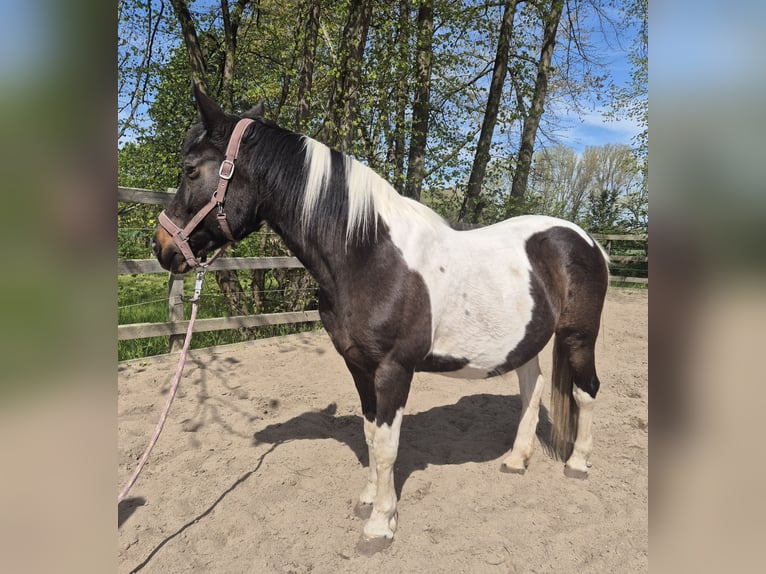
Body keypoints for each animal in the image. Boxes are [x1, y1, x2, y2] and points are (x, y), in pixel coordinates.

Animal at [153, 86, 610, 553]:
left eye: (191, 170)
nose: (162, 246)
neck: (367, 254)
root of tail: (584, 239)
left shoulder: (394, 369)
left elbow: (389, 445)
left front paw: (380, 525)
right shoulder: (358, 365)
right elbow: (371, 435)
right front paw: (368, 500)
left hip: (579, 336)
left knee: (586, 390)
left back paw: (578, 463)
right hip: (525, 340)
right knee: (531, 388)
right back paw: (516, 460)